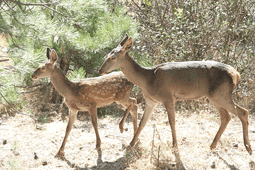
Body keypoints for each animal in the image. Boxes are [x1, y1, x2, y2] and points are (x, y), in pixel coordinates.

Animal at [98, 33, 252, 156]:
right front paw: (130, 145)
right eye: (106, 55)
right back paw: (213, 145)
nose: (100, 70)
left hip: (221, 94)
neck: (148, 79)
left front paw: (175, 147)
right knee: (226, 117)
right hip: (215, 96)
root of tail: (236, 74)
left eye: (113, 57)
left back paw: (248, 148)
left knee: (243, 112)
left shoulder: (168, 98)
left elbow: (172, 122)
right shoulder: (151, 101)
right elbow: (143, 122)